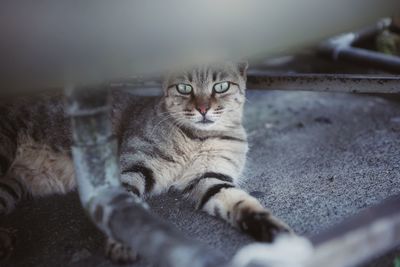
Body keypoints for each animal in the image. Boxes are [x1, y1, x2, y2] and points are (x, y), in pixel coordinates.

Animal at [0, 62, 290, 264]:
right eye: (184, 88)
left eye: (221, 87)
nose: (203, 109)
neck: (197, 138)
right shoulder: (132, 167)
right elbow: (126, 205)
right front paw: (123, 244)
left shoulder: (211, 177)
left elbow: (242, 203)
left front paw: (275, 232)